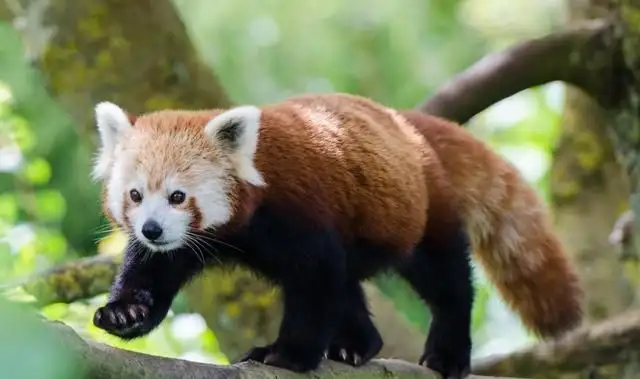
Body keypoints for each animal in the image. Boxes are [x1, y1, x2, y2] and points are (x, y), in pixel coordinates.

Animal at [90, 93, 584, 379]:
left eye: (178, 196)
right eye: (135, 195)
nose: (152, 229)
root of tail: (405, 125)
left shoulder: (297, 211)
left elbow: (314, 281)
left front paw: (287, 355)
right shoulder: (184, 244)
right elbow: (151, 273)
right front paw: (126, 313)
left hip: (419, 211)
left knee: (444, 279)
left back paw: (447, 353)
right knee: (349, 286)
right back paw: (357, 345)